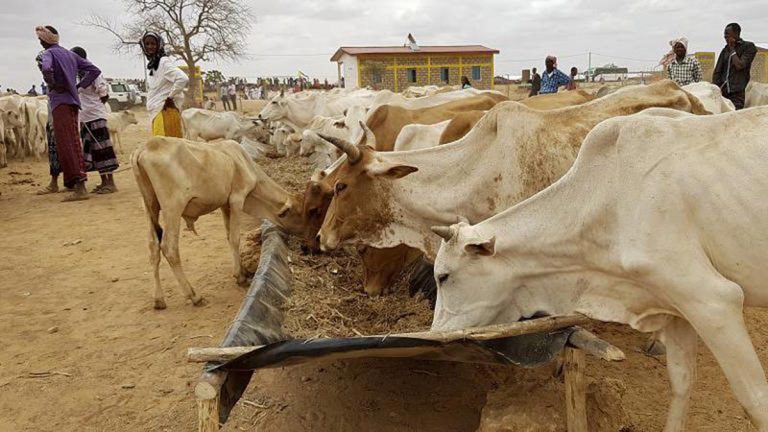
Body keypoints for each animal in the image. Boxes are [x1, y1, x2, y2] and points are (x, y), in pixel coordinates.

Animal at [132, 137, 304, 308]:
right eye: (300, 214)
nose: (306, 242)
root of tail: (143, 148)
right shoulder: (237, 199)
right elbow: (235, 238)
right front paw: (240, 276)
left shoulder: (225, 205)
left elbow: (228, 235)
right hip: (173, 209)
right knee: (169, 248)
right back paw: (194, 296)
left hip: (149, 207)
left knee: (153, 248)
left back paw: (159, 299)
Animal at [428, 105, 768, 432]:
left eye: (444, 276)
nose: (434, 335)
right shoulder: (674, 305)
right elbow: (682, 381)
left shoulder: (713, 300)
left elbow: (756, 401)